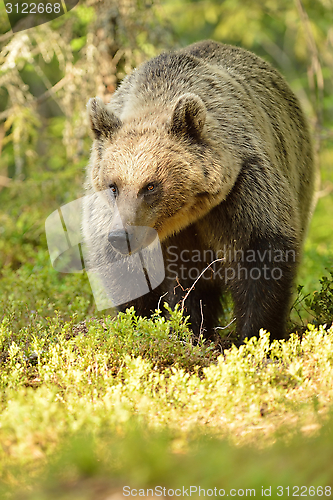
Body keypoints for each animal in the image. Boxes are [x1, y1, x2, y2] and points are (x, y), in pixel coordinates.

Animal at [81, 41, 314, 344]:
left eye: (151, 186)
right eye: (113, 186)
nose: (122, 236)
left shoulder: (242, 192)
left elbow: (262, 259)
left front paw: (255, 335)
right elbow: (131, 279)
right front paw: (141, 323)